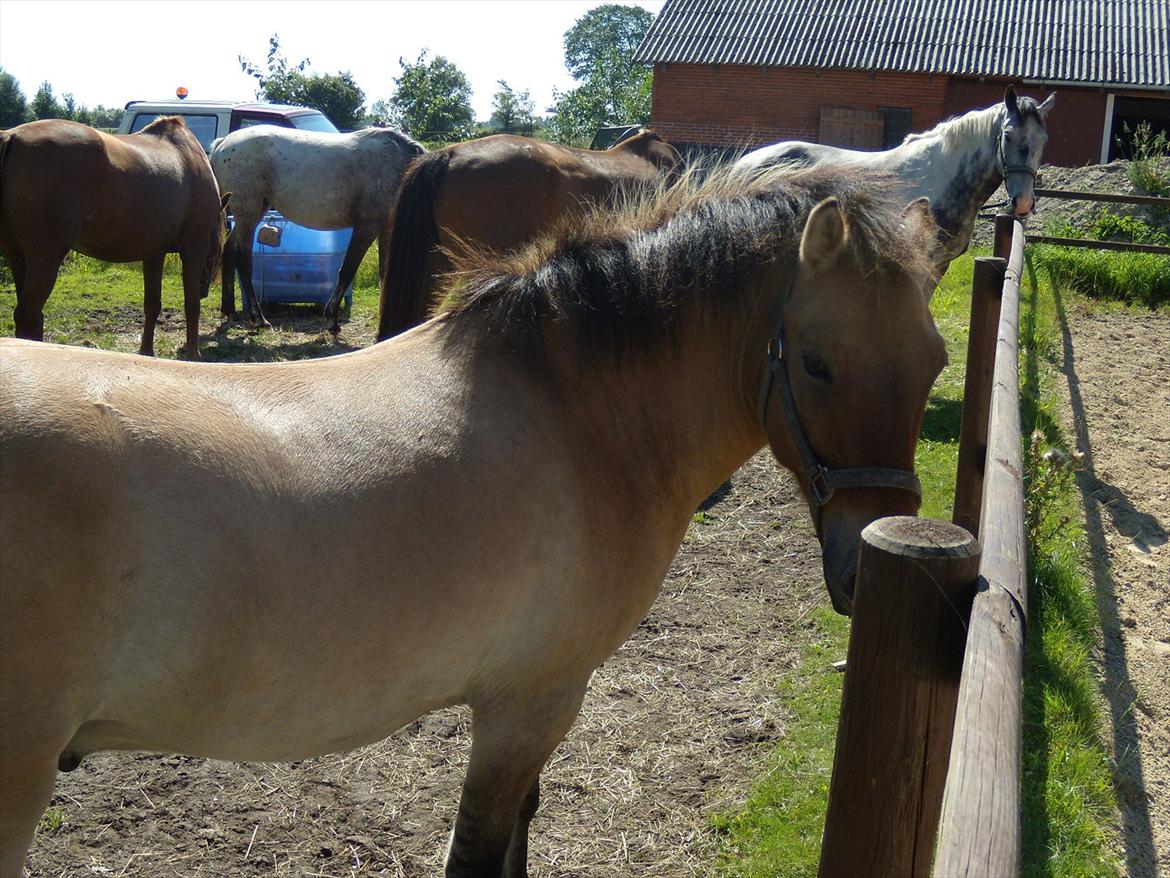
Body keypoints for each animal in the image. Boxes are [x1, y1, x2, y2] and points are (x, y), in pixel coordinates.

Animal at [0, 118, 226, 358]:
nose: (205, 291)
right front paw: (194, 356)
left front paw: (147, 352)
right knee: (29, 314)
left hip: (18, 256)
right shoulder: (194, 249)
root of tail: (11, 136)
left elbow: (152, 304)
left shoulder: (154, 254)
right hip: (46, 258)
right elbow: (191, 305)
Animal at [0, 165, 945, 878]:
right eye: (819, 364)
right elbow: (483, 853)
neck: (575, 410)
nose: (866, 564)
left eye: (934, 360)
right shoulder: (529, 703)